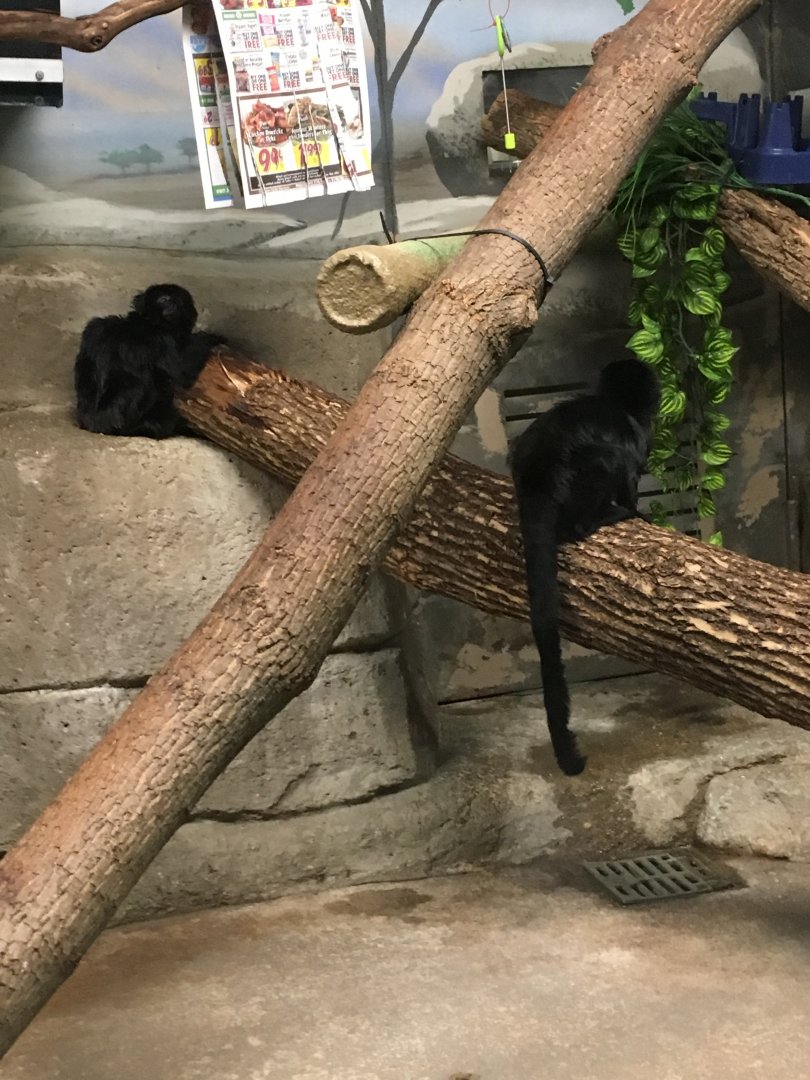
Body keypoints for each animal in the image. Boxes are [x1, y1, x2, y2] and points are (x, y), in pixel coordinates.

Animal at [73, 283, 225, 439]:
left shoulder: (96, 326)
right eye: (163, 299)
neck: (143, 322)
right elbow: (181, 371)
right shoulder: (162, 339)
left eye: (177, 300)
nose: (172, 304)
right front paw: (212, 338)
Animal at [508, 358, 660, 776]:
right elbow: (630, 476)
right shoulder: (635, 438)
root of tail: (538, 477)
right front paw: (634, 508)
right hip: (585, 474)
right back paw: (609, 516)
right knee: (611, 465)